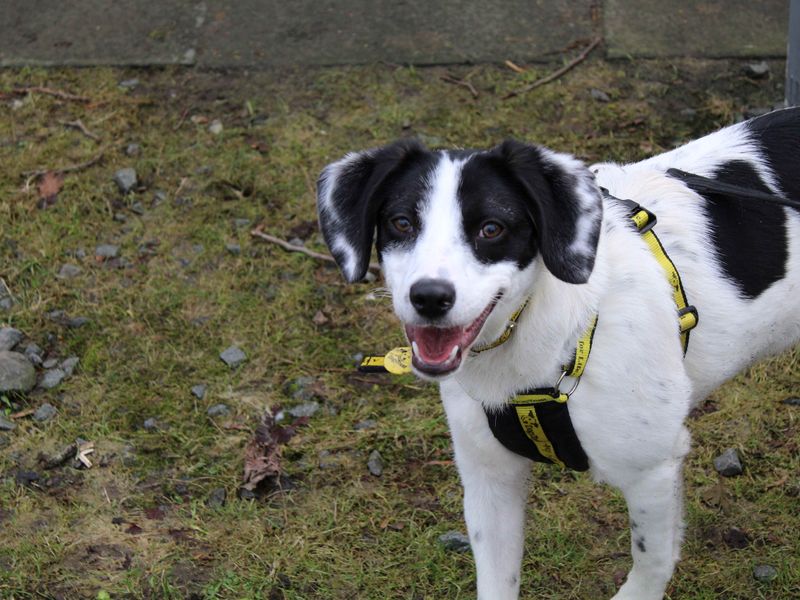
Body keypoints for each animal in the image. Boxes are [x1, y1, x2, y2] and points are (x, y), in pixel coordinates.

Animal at [316, 108, 796, 600]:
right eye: (401, 223)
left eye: (492, 228)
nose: (429, 297)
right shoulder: (489, 477)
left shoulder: (653, 471)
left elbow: (651, 561)